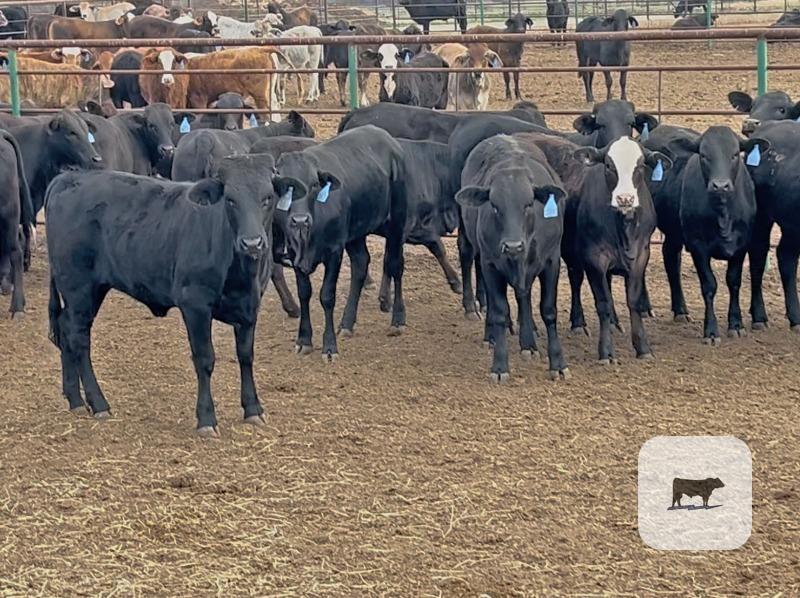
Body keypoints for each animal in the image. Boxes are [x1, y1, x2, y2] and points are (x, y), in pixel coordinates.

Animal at [45, 155, 290, 436]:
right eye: (230, 199)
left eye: (267, 197)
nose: (252, 243)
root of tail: (68, 177)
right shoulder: (195, 304)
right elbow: (205, 359)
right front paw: (206, 419)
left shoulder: (250, 306)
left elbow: (246, 356)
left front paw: (253, 409)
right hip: (79, 288)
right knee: (79, 338)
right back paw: (98, 403)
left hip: (88, 291)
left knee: (65, 329)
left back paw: (75, 399)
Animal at [274, 126, 408, 360]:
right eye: (285, 187)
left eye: (314, 184)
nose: (300, 220)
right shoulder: (295, 254)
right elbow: (304, 293)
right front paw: (304, 340)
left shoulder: (334, 252)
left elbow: (327, 296)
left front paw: (329, 347)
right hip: (355, 234)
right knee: (361, 264)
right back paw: (347, 323)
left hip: (396, 222)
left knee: (395, 265)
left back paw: (397, 320)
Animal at [457, 134, 569, 382]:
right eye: (495, 206)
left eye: (528, 204)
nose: (513, 246)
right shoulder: (490, 264)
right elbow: (498, 311)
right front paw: (500, 366)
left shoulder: (552, 261)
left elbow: (548, 310)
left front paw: (557, 364)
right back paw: (490, 335)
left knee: (522, 296)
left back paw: (528, 343)